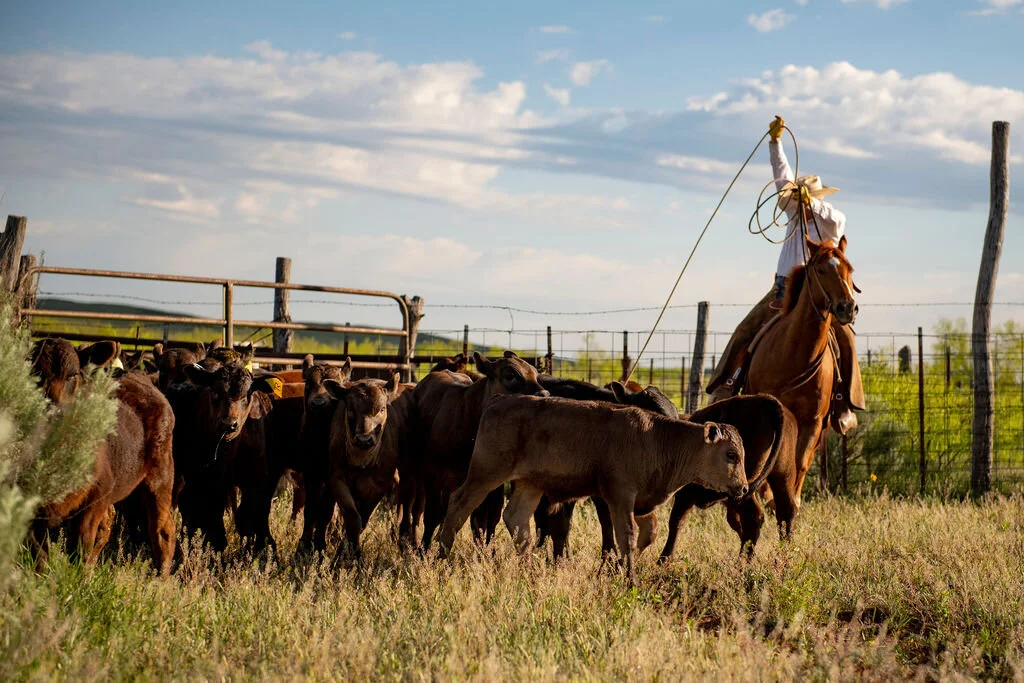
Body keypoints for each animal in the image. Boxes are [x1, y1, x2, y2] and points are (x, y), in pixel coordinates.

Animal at [28, 338, 176, 575]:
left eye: (73, 375)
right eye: (35, 372)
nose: (55, 410)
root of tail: (140, 376)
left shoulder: (97, 495)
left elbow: (81, 545)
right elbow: (39, 554)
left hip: (160, 476)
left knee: (162, 530)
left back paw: (159, 579)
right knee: (107, 525)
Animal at [410, 351, 548, 548]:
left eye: (536, 375)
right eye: (510, 375)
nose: (544, 393)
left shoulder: (490, 481)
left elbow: (486, 520)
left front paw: (486, 551)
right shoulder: (432, 473)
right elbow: (432, 515)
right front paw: (423, 550)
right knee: (421, 509)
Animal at [437, 394, 747, 584]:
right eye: (731, 454)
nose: (743, 488)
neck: (657, 439)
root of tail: (499, 400)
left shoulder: (641, 502)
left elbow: (648, 533)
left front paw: (618, 568)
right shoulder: (619, 495)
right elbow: (626, 535)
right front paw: (630, 578)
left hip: (530, 483)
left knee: (516, 518)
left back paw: (526, 566)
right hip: (486, 473)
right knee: (459, 505)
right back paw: (441, 555)